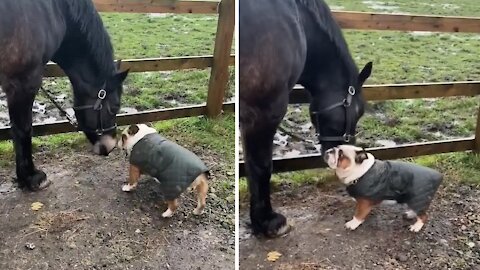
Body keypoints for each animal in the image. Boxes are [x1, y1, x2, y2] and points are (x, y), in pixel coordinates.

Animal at [0, 0, 129, 192]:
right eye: (115, 107)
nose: (111, 145)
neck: (58, 11)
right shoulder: (23, 82)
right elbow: (23, 129)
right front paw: (31, 177)